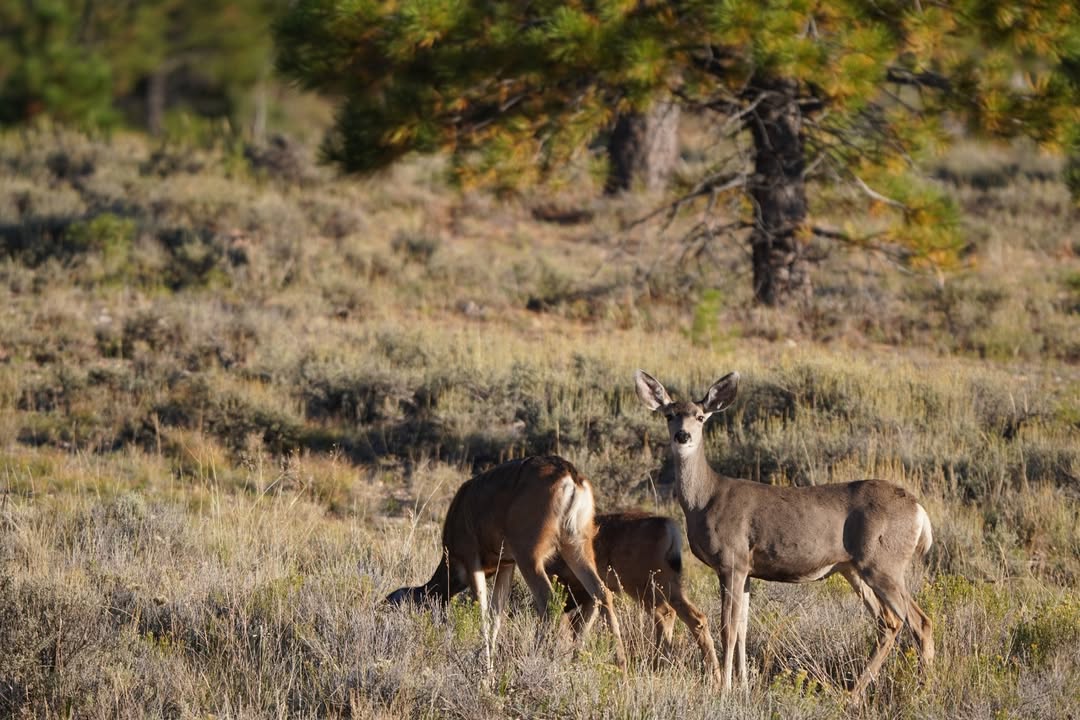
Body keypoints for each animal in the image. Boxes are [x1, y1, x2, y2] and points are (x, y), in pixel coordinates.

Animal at [385, 455, 627, 670]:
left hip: (527, 548)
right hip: (576, 540)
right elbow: (496, 616)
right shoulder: (506, 565)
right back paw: (620, 669)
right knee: (601, 592)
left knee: (549, 601)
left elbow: (482, 614)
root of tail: (572, 477)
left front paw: (485, 674)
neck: (450, 559)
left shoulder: (471, 555)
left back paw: (541, 662)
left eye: (394, 607)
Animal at [547, 511, 721, 681]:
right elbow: (580, 632)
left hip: (640, 583)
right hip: (668, 582)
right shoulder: (590, 599)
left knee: (665, 613)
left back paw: (657, 668)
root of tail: (668, 525)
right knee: (696, 617)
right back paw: (715, 678)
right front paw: (574, 664)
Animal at [634, 370, 935, 693]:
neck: (705, 500)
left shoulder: (731, 559)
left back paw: (921, 690)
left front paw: (725, 687)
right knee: (888, 622)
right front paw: (743, 686)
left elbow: (728, 628)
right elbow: (743, 628)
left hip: (884, 563)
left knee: (918, 622)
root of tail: (919, 511)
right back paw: (854, 693)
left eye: (701, 417)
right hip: (853, 568)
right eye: (670, 415)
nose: (683, 436)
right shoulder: (747, 569)